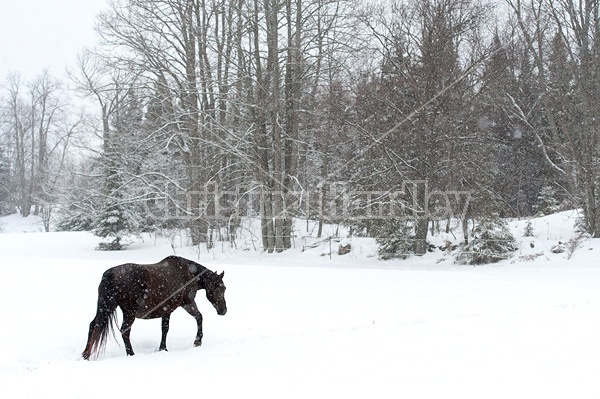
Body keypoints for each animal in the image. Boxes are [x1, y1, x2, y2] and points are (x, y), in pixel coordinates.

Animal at [82, 258, 227, 360]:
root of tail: (110, 274)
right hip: (128, 313)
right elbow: (199, 317)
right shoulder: (188, 303)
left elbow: (165, 329)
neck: (188, 274)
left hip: (106, 308)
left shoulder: (167, 310)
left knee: (93, 325)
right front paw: (197, 341)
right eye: (220, 288)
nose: (223, 310)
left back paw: (86, 355)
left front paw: (163, 348)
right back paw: (131, 354)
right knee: (125, 331)